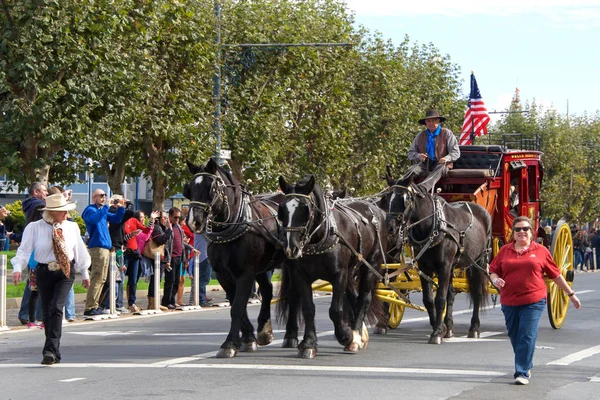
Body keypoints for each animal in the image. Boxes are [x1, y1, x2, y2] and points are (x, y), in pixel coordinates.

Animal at [183, 158, 290, 358]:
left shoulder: (245, 273)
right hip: (262, 267)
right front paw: (247, 338)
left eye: (211, 187)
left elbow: (237, 307)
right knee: (267, 290)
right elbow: (236, 304)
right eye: (190, 188)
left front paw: (229, 344)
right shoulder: (223, 274)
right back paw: (265, 331)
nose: (194, 221)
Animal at [278, 173, 386, 358]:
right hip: (350, 272)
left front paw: (346, 336)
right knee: (354, 298)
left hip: (370, 264)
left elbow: (335, 310)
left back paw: (355, 336)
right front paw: (308, 343)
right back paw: (359, 334)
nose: (291, 248)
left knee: (363, 299)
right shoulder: (301, 275)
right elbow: (308, 308)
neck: (321, 236)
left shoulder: (339, 275)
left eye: (305, 210)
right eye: (282, 211)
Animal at [384, 165, 492, 344]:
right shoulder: (425, 268)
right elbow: (429, 300)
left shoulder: (444, 267)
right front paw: (440, 327)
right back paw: (450, 328)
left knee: (476, 293)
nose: (390, 227)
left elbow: (440, 299)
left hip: (479, 261)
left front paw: (436, 332)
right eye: (387, 198)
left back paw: (474, 328)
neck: (431, 227)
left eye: (405, 199)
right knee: (452, 294)